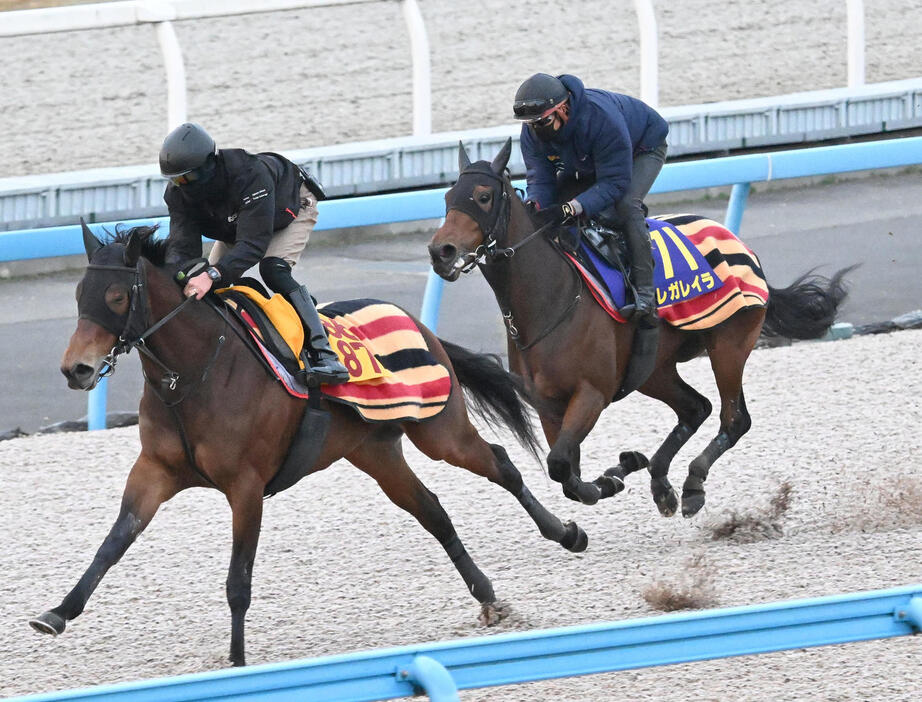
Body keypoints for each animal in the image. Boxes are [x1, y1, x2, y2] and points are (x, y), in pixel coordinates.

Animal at [34, 223, 588, 668]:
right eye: (80, 293)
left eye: (116, 298)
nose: (75, 369)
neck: (194, 373)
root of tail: (419, 323)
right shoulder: (155, 471)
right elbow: (112, 543)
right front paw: (57, 613)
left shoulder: (246, 487)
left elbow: (238, 580)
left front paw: (238, 661)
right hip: (375, 451)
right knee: (433, 511)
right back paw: (488, 595)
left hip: (439, 431)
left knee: (500, 464)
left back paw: (566, 533)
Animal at [428, 140, 852, 520]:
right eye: (448, 197)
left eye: (483, 196)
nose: (440, 252)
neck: (551, 299)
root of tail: (745, 249)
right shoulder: (547, 405)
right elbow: (565, 473)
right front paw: (620, 470)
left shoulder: (591, 394)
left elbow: (562, 465)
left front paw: (618, 474)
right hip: (652, 368)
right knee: (695, 407)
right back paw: (660, 482)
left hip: (728, 344)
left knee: (734, 418)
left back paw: (692, 485)